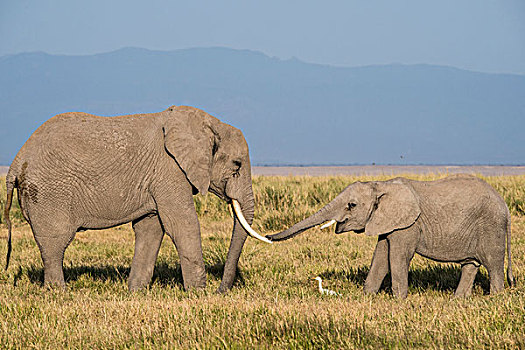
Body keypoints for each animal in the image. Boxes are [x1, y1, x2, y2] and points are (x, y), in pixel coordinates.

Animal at [5, 105, 270, 292]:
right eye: (236, 165)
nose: (221, 291)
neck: (208, 124)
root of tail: (17, 161)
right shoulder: (169, 170)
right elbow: (182, 225)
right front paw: (198, 294)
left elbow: (150, 228)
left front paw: (136, 292)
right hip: (48, 193)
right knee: (54, 244)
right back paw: (58, 292)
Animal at [268, 175, 512, 298]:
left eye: (352, 205)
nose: (268, 236)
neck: (380, 184)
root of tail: (505, 206)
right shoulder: (386, 222)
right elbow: (381, 256)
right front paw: (367, 297)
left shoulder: (408, 224)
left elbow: (397, 256)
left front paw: (399, 301)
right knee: (470, 265)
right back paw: (457, 301)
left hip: (491, 226)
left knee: (493, 263)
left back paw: (495, 299)